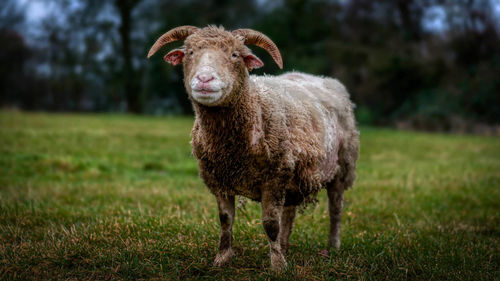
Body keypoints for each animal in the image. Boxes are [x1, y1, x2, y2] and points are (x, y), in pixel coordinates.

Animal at [147, 25, 360, 270]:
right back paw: (285, 246)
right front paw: (222, 258)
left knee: (335, 209)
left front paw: (277, 265)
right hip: (293, 173)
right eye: (190, 53)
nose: (204, 79)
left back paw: (333, 245)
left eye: (235, 55)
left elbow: (270, 224)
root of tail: (324, 79)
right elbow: (226, 220)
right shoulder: (219, 180)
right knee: (289, 212)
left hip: (341, 167)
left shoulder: (274, 178)